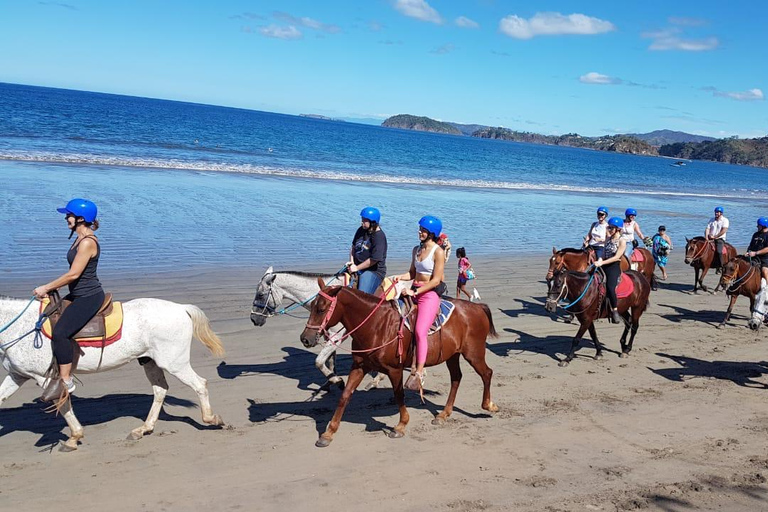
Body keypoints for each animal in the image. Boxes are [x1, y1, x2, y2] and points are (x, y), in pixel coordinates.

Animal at [0, 294, 225, 450]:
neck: (20, 328)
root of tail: (181, 308)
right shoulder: (17, 375)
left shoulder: (46, 379)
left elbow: (63, 406)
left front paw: (74, 437)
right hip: (150, 362)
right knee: (160, 390)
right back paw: (143, 429)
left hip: (174, 363)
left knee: (200, 384)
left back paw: (212, 419)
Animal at [250, 266, 388, 390]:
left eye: (260, 295)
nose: (253, 318)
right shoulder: (328, 336)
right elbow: (330, 361)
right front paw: (330, 381)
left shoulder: (337, 336)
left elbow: (319, 361)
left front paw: (337, 381)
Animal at [296, 280, 500, 448]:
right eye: (312, 307)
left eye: (321, 309)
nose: (305, 338)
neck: (376, 324)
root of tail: (477, 307)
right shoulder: (360, 366)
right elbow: (345, 395)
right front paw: (328, 433)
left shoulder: (394, 369)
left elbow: (398, 395)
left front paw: (401, 426)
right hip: (453, 355)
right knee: (456, 378)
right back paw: (443, 414)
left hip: (473, 353)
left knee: (487, 373)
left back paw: (488, 405)